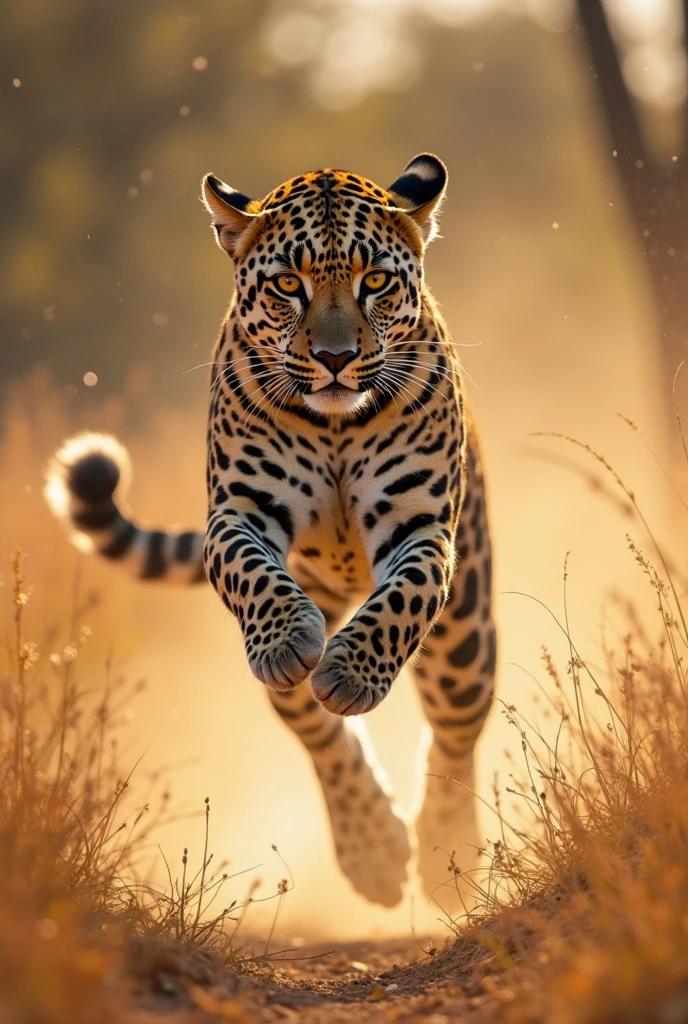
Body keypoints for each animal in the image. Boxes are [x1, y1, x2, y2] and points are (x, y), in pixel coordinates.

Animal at [46, 154, 496, 910]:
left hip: (466, 624)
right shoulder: (238, 512)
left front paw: (351, 670)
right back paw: (372, 847)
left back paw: (445, 851)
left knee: (455, 728)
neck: (336, 422)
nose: (337, 358)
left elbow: (402, 600)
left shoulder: (420, 525)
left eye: (376, 281)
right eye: (289, 284)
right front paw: (290, 642)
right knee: (307, 720)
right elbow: (252, 575)